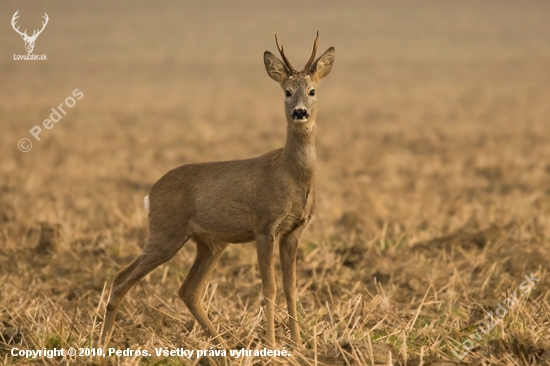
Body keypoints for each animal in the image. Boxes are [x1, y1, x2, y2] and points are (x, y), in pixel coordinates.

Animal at [102, 31, 338, 346]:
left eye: (312, 91)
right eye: (287, 92)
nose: (300, 112)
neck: (291, 175)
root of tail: (150, 195)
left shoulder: (294, 231)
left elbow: (291, 288)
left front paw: (299, 345)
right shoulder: (264, 227)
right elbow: (269, 289)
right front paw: (272, 344)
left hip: (209, 243)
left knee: (188, 290)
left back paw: (223, 345)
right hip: (165, 234)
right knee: (121, 278)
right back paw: (101, 344)